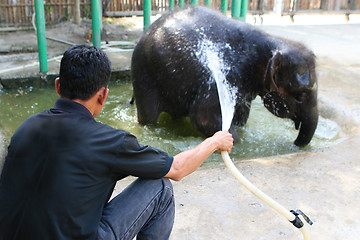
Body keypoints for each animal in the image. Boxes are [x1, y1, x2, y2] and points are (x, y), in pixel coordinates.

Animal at [131, 5, 318, 147]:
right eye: (301, 95)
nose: (294, 144)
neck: (271, 42)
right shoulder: (222, 75)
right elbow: (203, 117)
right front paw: (233, 141)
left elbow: (241, 117)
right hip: (143, 72)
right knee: (148, 117)